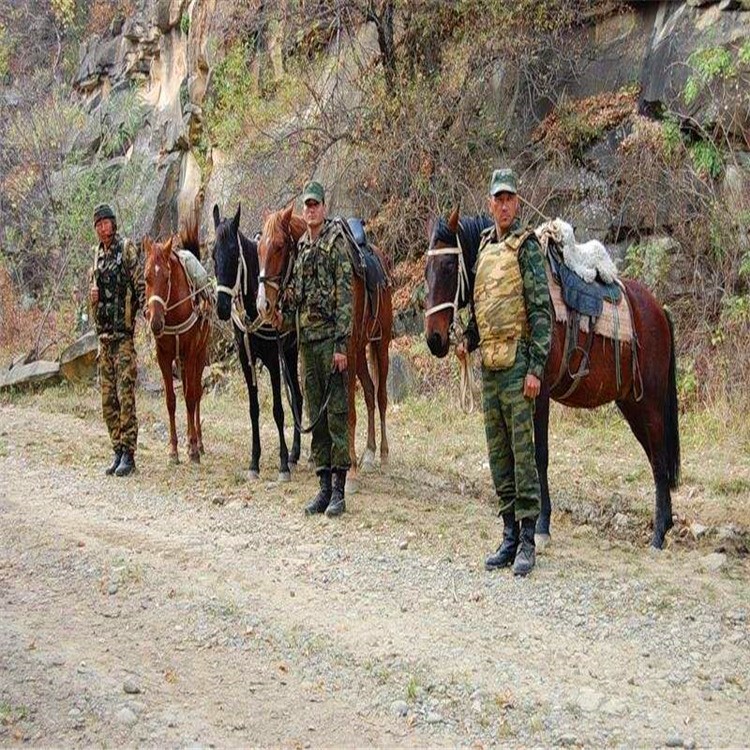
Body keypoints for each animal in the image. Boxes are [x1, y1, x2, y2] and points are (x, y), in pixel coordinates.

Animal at [144, 217, 212, 464]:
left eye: (166, 277)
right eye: (146, 277)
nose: (155, 322)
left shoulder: (191, 353)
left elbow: (191, 397)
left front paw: (192, 449)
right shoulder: (164, 357)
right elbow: (171, 400)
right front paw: (173, 450)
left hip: (200, 354)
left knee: (197, 393)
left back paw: (198, 443)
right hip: (180, 360)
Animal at [212, 204, 302, 482]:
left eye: (234, 254)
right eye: (213, 255)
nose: (222, 307)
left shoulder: (273, 360)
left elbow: (278, 410)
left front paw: (282, 465)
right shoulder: (246, 360)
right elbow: (253, 409)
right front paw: (254, 461)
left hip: (293, 351)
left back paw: (294, 455)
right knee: (298, 397)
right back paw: (295, 454)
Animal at [254, 204, 394, 494]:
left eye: (280, 246)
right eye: (259, 248)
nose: (263, 306)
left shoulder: (344, 355)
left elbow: (348, 413)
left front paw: (350, 473)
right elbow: (314, 406)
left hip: (379, 344)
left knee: (381, 396)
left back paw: (383, 455)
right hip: (359, 352)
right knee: (369, 391)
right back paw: (369, 453)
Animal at [428, 209, 680, 548]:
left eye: (448, 266)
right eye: (426, 270)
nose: (435, 339)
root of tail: (659, 310)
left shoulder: (539, 392)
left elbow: (539, 455)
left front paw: (542, 524)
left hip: (650, 402)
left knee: (659, 459)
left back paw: (657, 535)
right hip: (632, 403)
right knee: (656, 456)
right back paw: (664, 525)